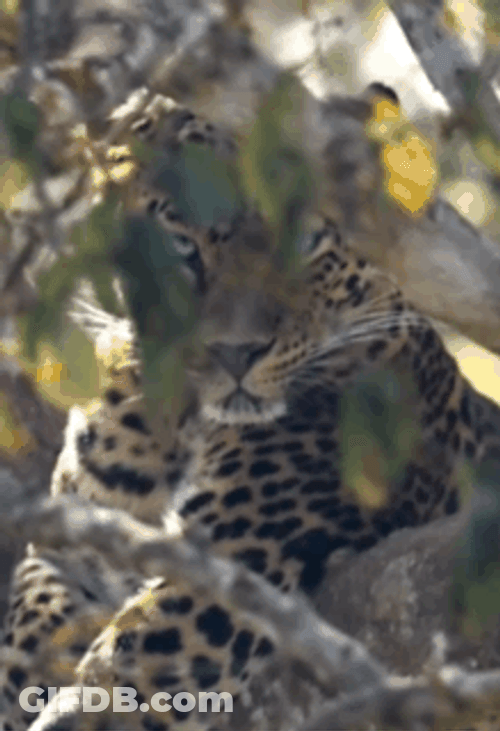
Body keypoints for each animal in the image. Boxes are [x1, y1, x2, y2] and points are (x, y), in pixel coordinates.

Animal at [2, 91, 497, 731]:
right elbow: (29, 614)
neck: (175, 425)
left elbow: (127, 669)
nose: (236, 352)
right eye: (182, 243)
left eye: (308, 241)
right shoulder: (70, 545)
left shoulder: (244, 554)